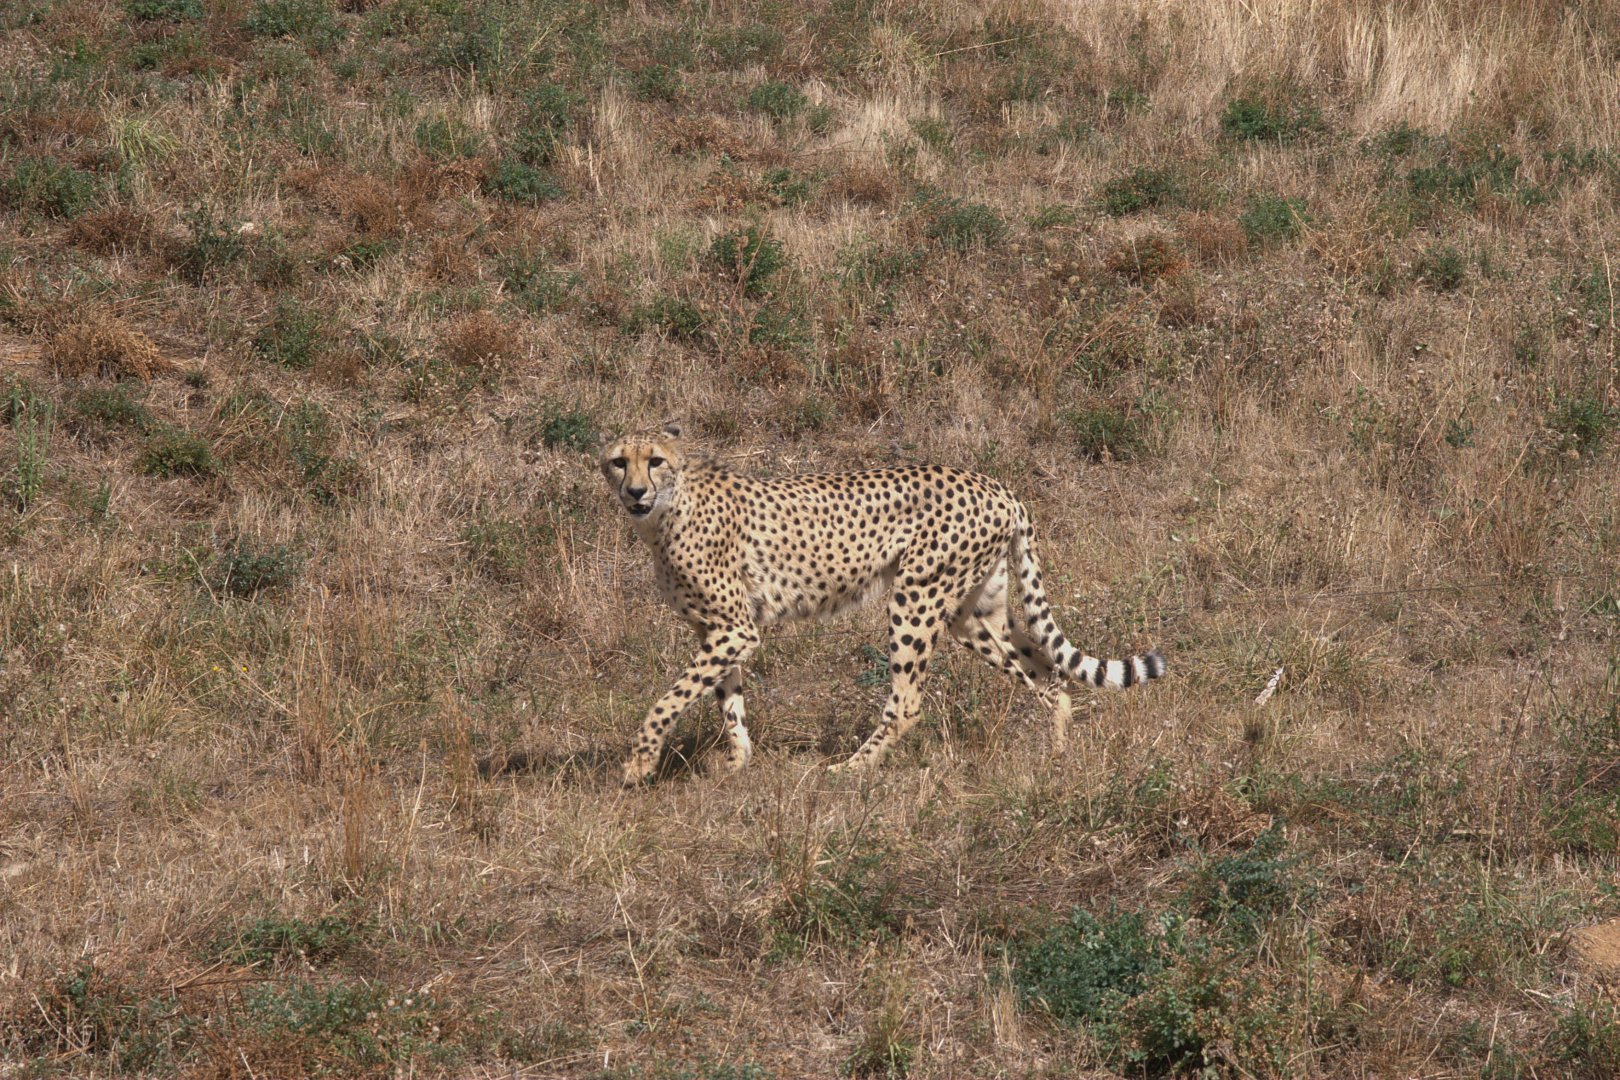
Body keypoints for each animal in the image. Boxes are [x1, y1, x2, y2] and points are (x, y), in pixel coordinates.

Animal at [600, 423, 1166, 787]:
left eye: (654, 461)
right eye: (618, 462)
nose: (634, 492)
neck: (668, 510)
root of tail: (996, 484)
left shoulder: (734, 630)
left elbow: (668, 700)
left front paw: (637, 767)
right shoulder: (719, 631)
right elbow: (727, 700)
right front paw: (738, 762)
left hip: (917, 596)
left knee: (908, 703)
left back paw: (851, 769)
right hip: (974, 613)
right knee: (1047, 675)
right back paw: (1057, 756)